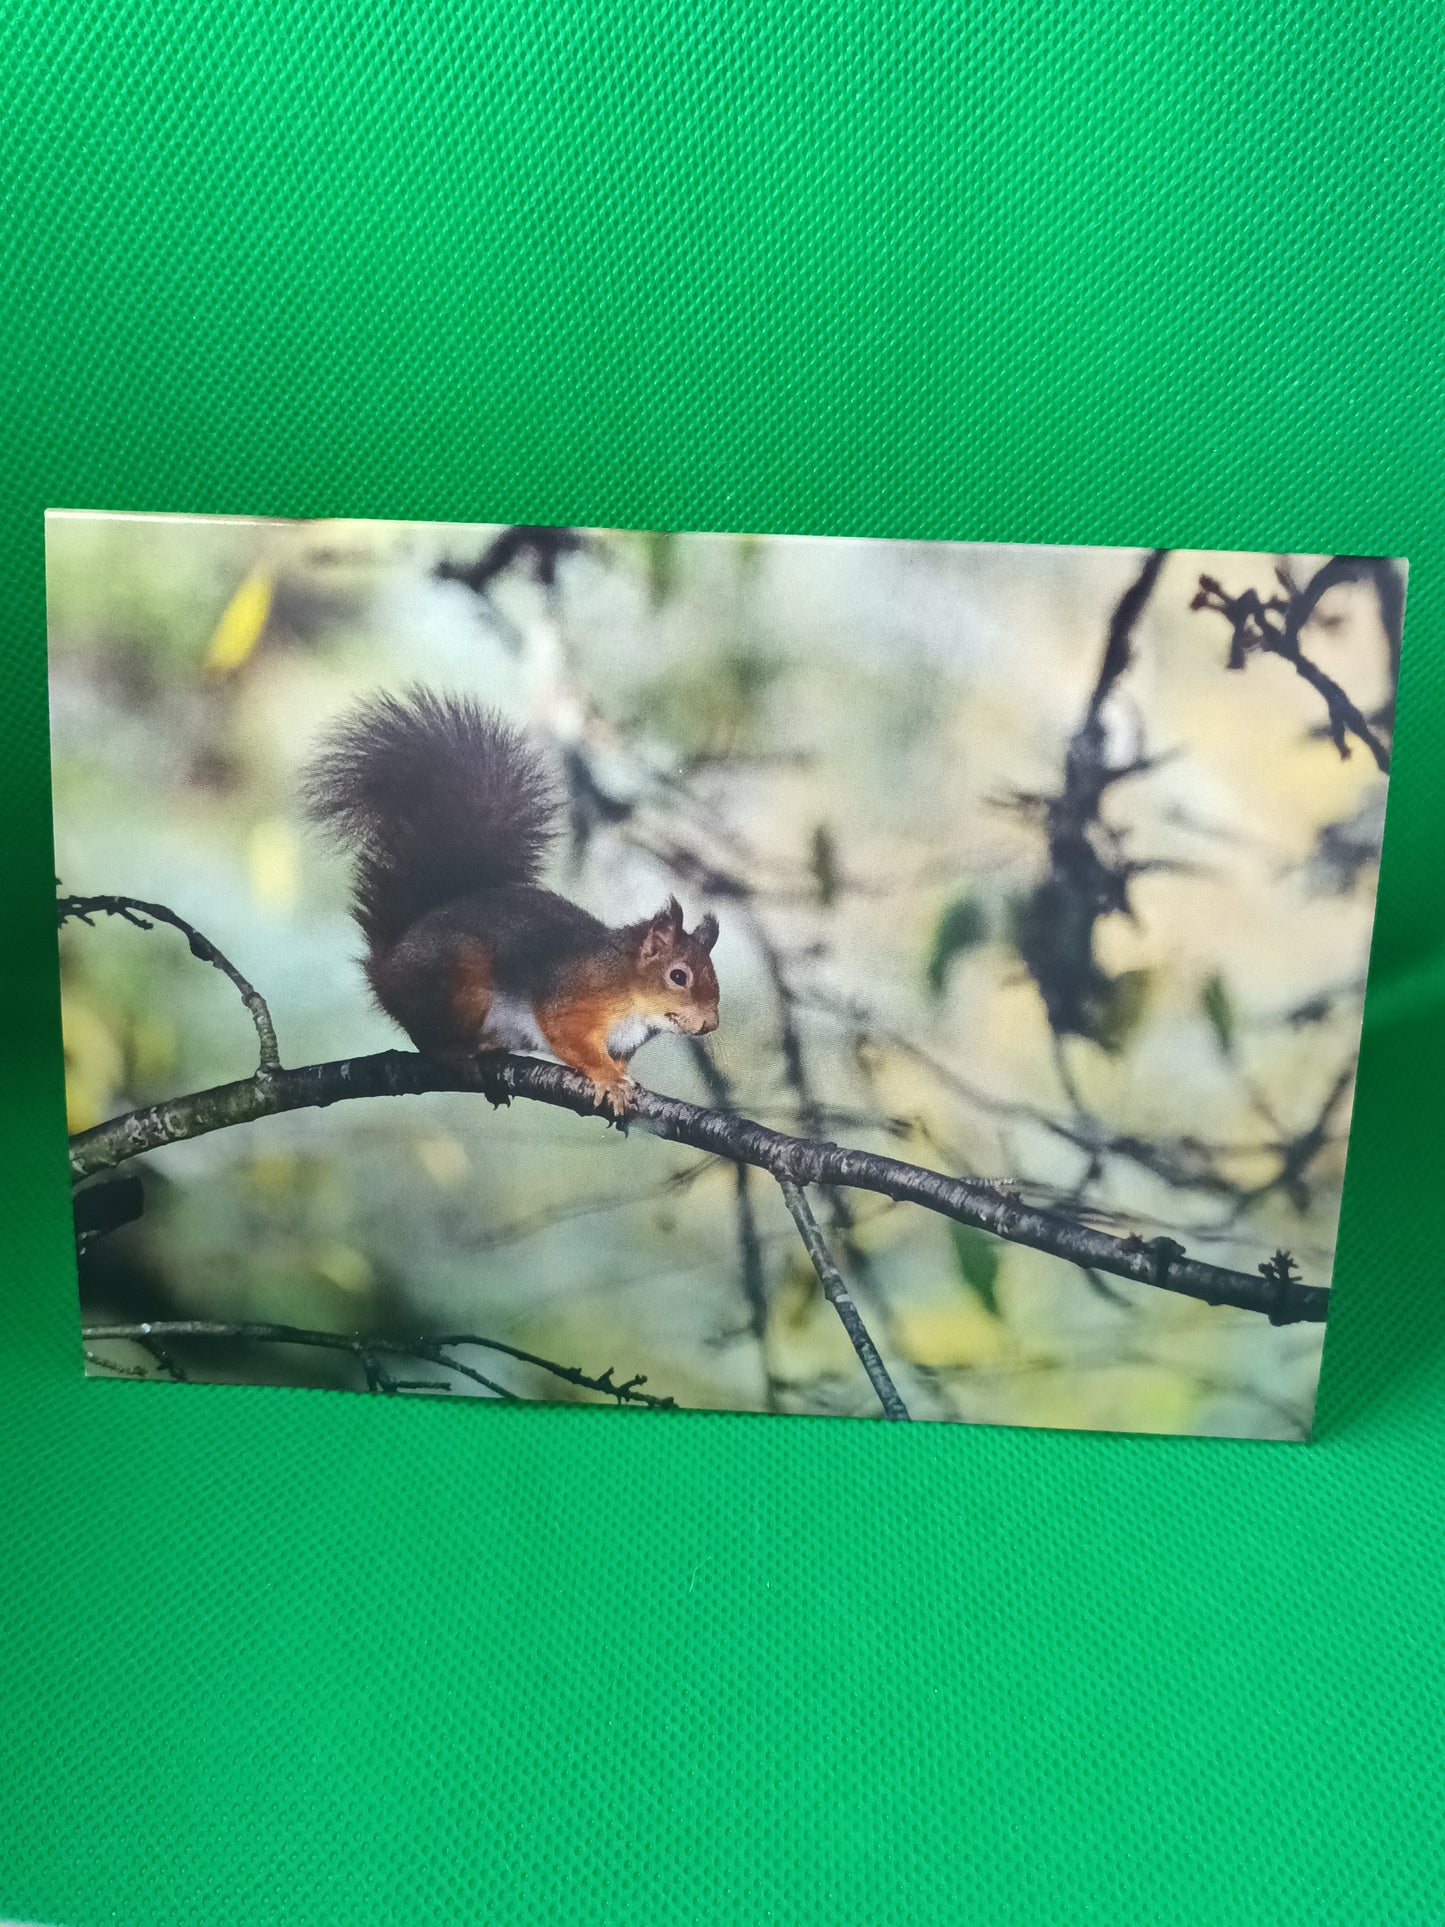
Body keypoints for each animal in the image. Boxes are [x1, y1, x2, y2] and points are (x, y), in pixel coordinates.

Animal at [304, 687, 720, 1114]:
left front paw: (625, 1078)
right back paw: (458, 1053)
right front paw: (607, 1077)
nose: (710, 1024)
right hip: (458, 978)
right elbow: (570, 1040)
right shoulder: (570, 1000)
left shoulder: (622, 1041)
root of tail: (386, 966)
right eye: (678, 976)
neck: (630, 990)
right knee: (427, 1039)